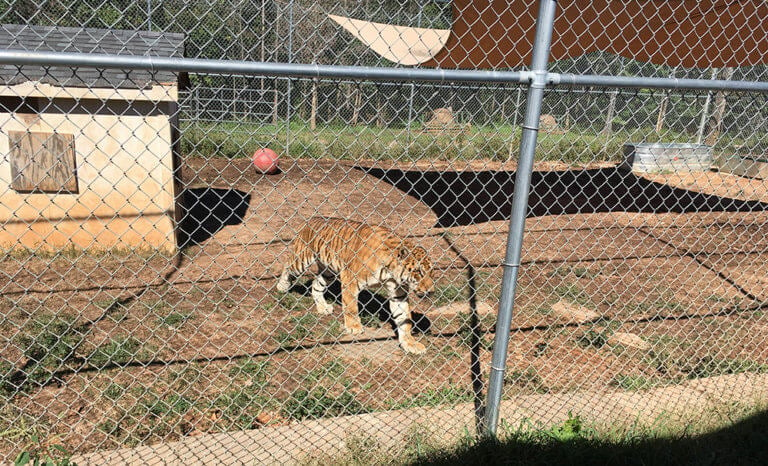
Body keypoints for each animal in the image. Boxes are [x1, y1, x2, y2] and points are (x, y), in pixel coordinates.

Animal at [276, 218, 432, 354]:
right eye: (418, 271)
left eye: (431, 271)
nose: (431, 291)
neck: (391, 273)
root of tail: (312, 219)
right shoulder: (350, 279)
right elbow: (350, 307)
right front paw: (354, 327)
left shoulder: (399, 294)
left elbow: (404, 320)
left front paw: (410, 343)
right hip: (301, 259)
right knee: (287, 266)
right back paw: (281, 286)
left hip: (328, 272)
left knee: (316, 286)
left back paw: (323, 307)